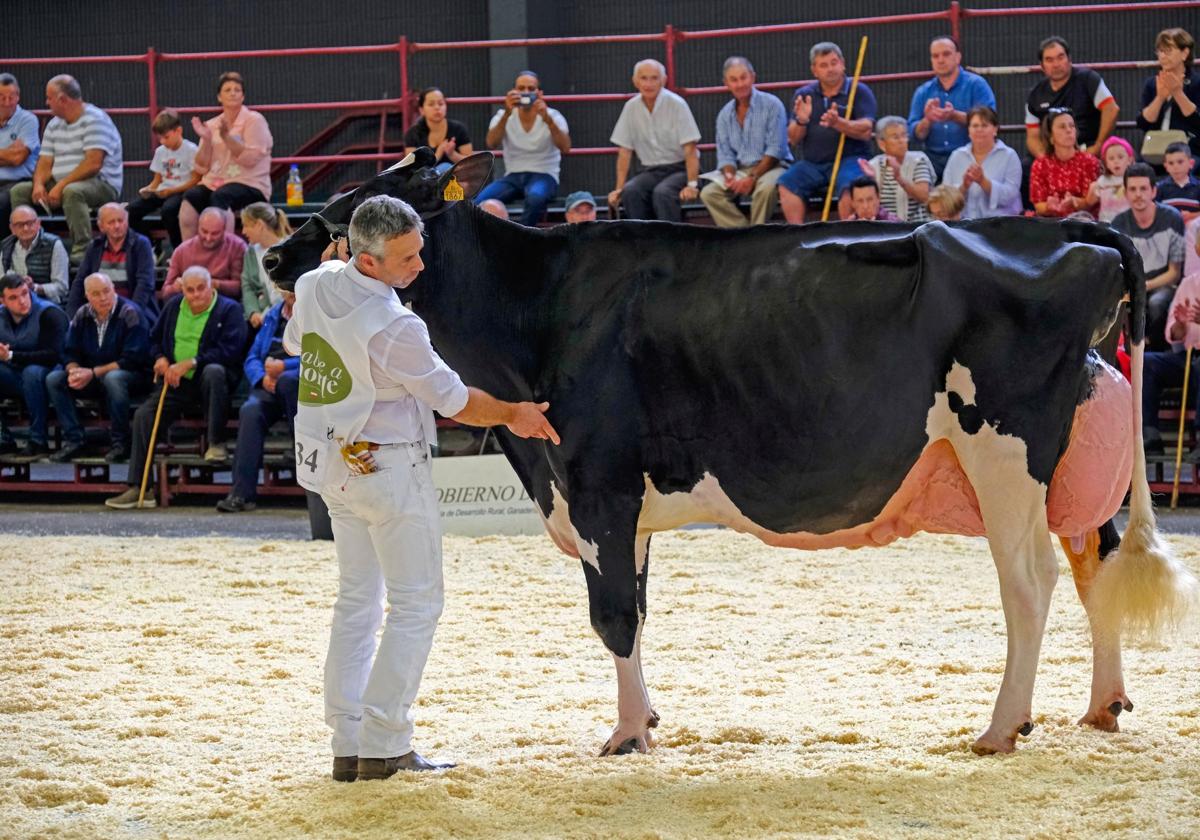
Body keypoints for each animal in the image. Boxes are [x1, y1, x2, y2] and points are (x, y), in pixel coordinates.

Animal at [267, 149, 1195, 753]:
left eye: (367, 199)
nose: (275, 253)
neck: (539, 307)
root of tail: (1072, 230)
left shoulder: (597, 484)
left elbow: (612, 613)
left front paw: (626, 736)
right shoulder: (623, 505)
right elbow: (638, 608)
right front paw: (646, 720)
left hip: (1004, 451)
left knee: (1030, 583)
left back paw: (1003, 728)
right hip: (1073, 461)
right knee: (1096, 561)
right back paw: (1102, 708)